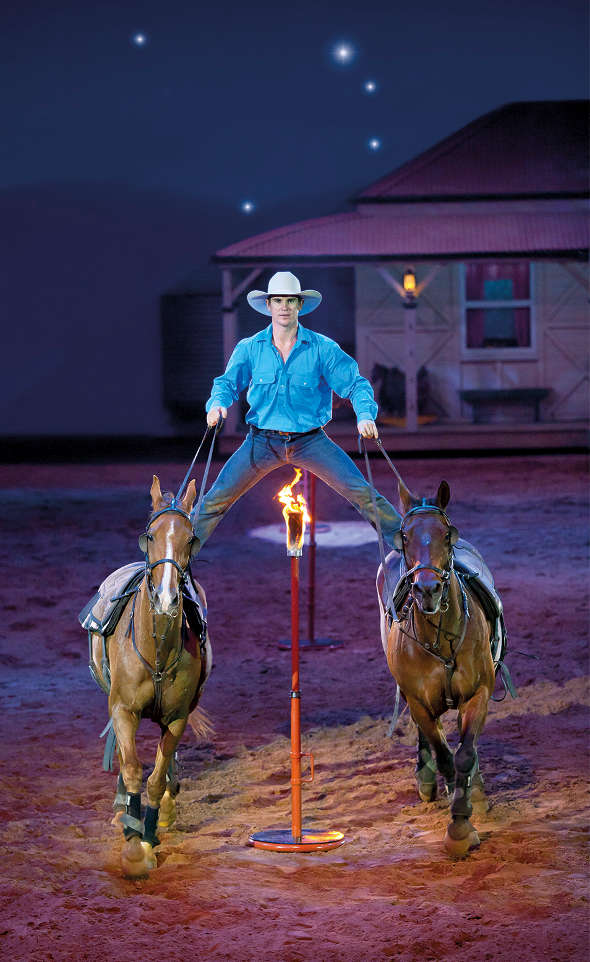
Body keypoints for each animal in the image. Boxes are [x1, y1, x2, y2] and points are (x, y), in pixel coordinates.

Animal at [90, 476, 213, 872]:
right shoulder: (123, 710)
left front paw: (150, 830)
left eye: (191, 539)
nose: (166, 598)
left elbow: (157, 778)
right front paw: (132, 845)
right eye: (149, 536)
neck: (157, 652)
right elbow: (132, 768)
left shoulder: (176, 717)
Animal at [380, 478, 494, 856]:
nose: (427, 589)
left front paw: (463, 819)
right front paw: (458, 820)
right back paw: (428, 780)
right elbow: (444, 754)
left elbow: (465, 754)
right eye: (404, 536)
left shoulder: (478, 693)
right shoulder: (418, 702)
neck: (440, 640)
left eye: (446, 534)